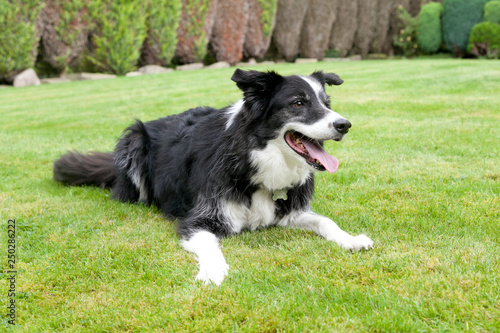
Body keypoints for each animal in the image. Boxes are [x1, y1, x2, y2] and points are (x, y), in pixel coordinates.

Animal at [55, 68, 376, 284]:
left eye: (327, 103)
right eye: (298, 103)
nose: (344, 125)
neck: (251, 157)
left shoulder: (289, 210)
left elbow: (325, 221)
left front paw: (351, 239)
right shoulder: (199, 218)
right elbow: (208, 243)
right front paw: (213, 270)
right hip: (132, 141)